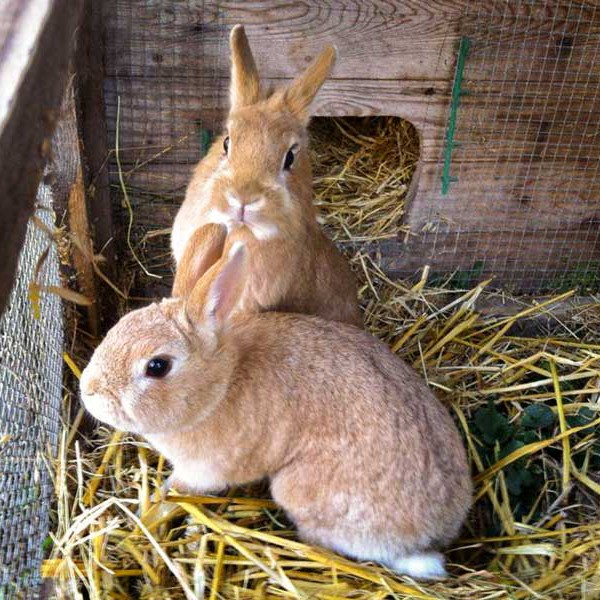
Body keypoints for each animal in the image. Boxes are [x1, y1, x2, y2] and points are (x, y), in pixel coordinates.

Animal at [79, 226, 474, 580]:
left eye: (157, 366)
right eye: (122, 324)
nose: (89, 391)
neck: (221, 386)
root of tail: (431, 536)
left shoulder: (204, 470)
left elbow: (180, 488)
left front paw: (156, 503)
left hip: (298, 490)